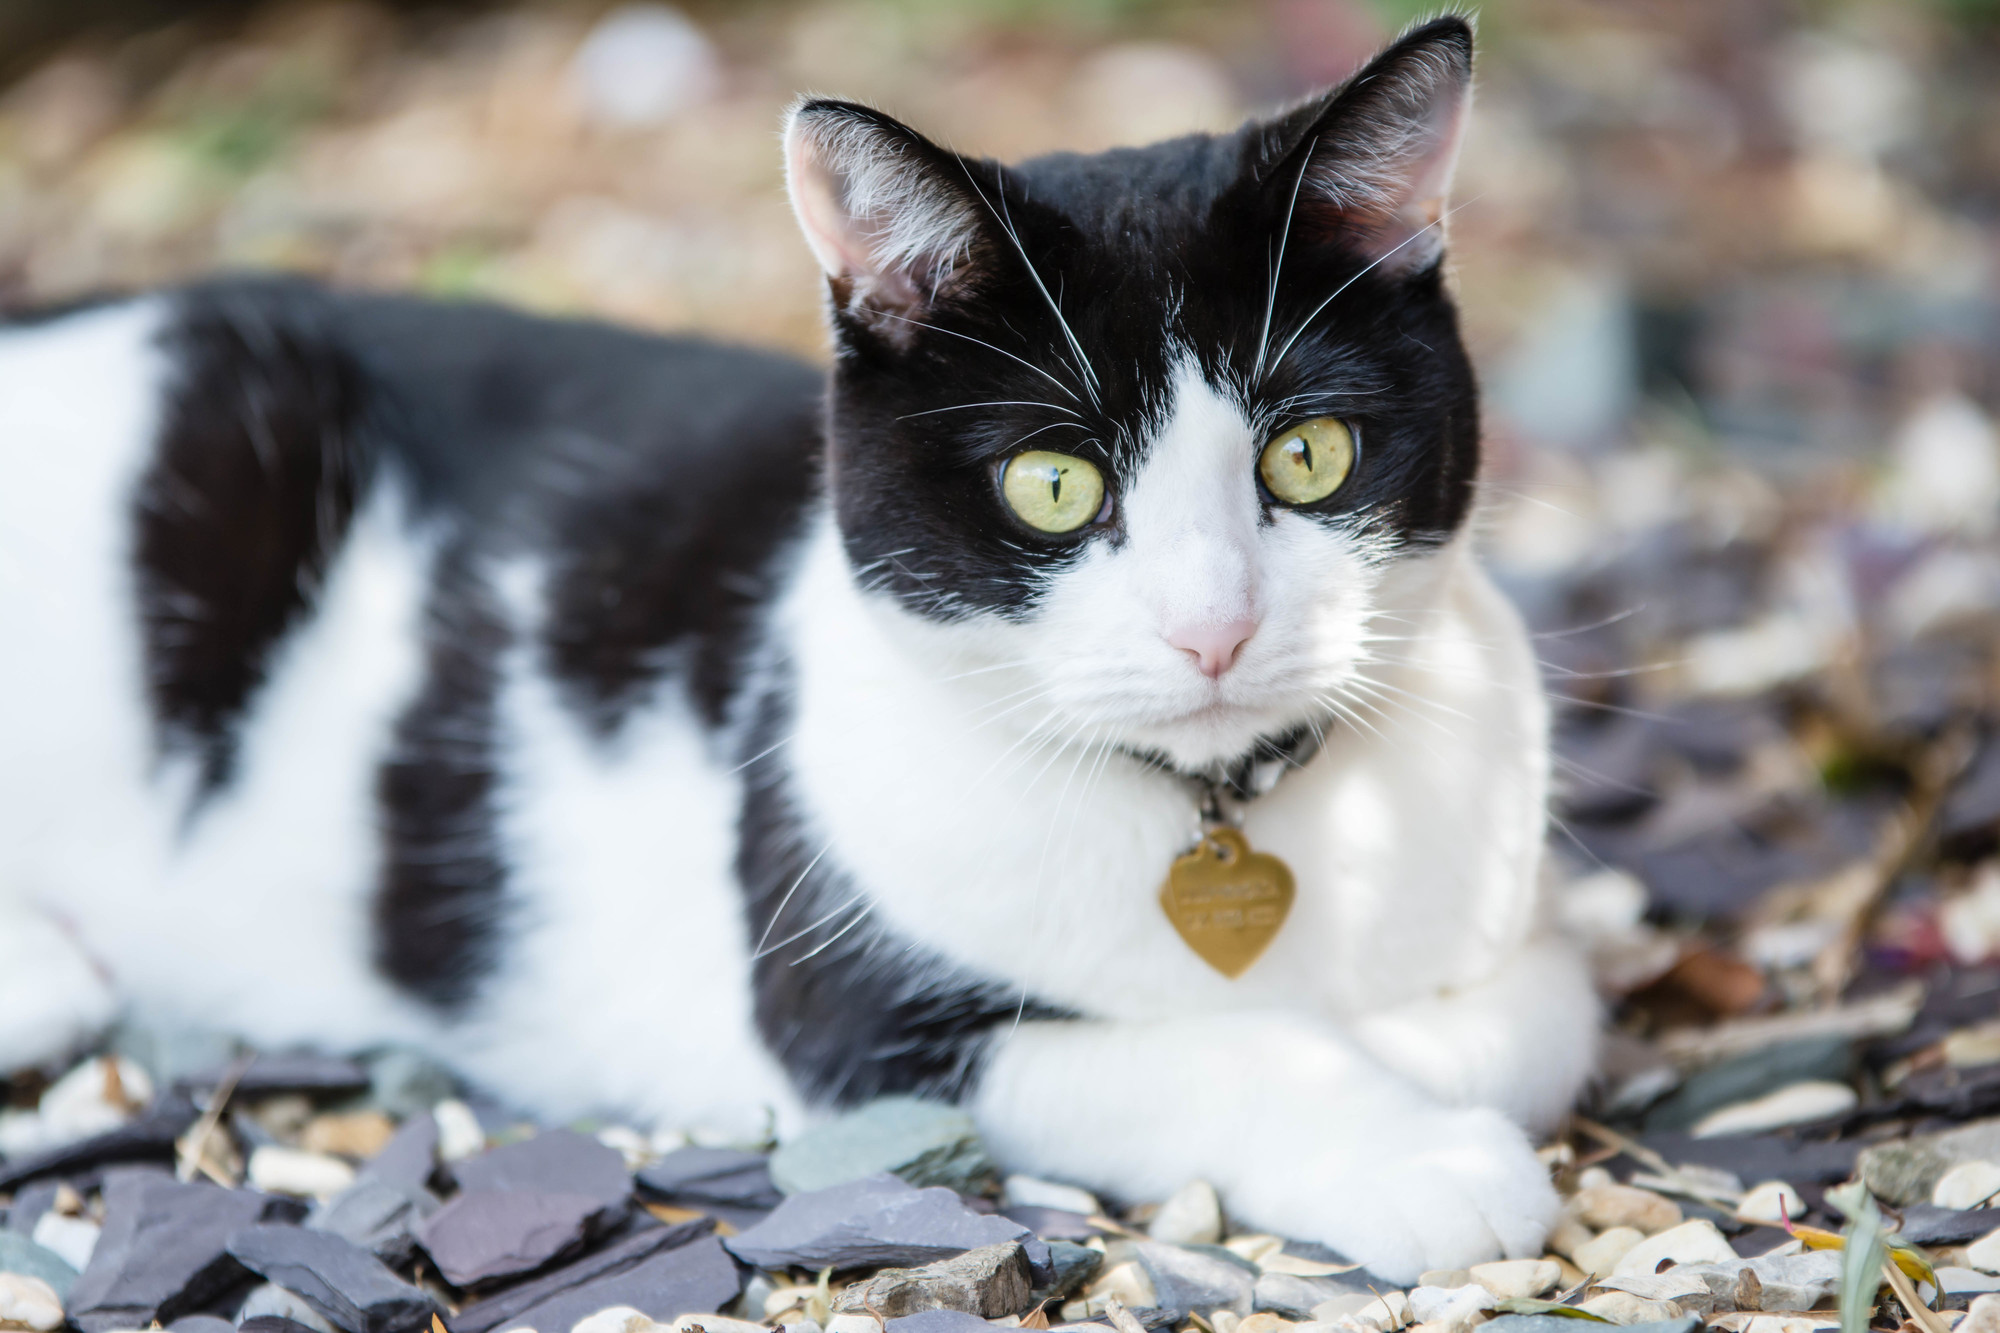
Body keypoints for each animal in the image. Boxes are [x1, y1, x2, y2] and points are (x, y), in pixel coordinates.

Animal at [0, 15, 1592, 1272]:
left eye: (1308, 456)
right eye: (1053, 485)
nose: (1215, 628)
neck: (1217, 811)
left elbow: (1538, 1008)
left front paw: (1413, 1057)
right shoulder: (858, 1029)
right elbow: (1204, 1050)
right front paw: (1420, 1155)